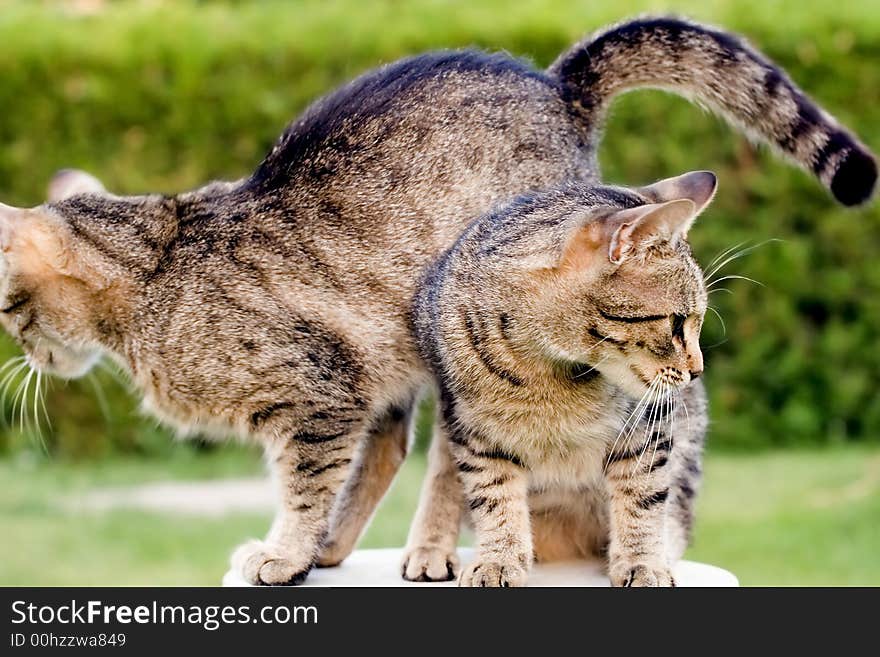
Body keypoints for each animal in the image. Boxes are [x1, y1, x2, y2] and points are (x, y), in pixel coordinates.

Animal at [0, 18, 868, 588]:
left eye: (8, 309)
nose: (24, 357)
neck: (155, 271)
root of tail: (557, 80)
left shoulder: (318, 396)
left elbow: (305, 483)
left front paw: (287, 549)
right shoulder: (350, 385)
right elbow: (357, 464)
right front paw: (310, 547)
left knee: (448, 454)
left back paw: (429, 550)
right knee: (408, 446)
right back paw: (351, 547)